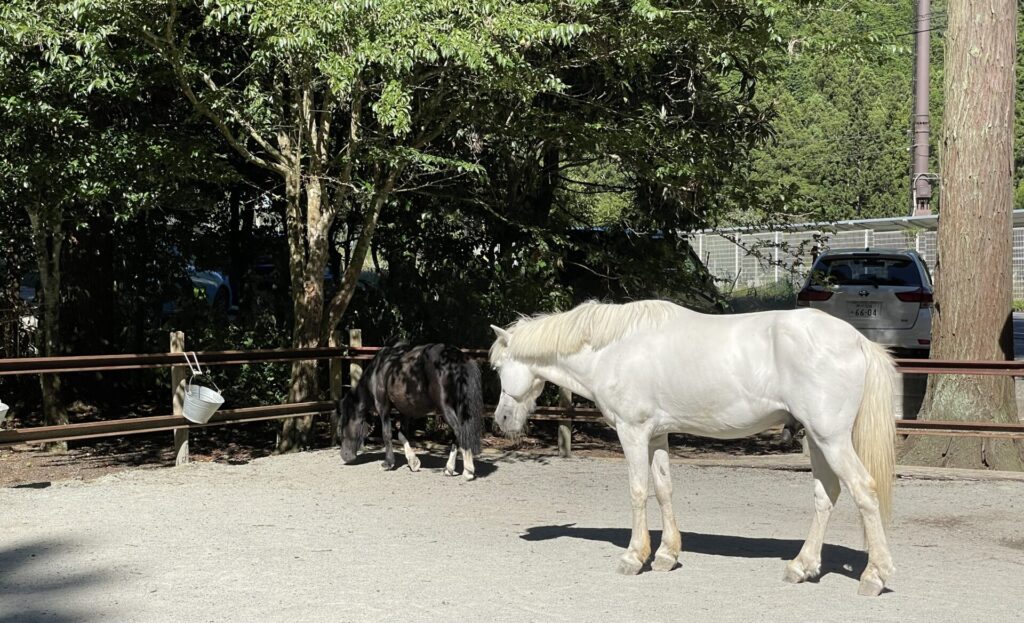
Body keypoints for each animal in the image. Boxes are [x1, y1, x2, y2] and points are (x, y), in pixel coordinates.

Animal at [333, 342, 481, 479]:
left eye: (341, 426)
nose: (344, 456)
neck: (379, 370)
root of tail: (457, 358)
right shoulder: (405, 411)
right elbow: (401, 434)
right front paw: (413, 462)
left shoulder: (383, 407)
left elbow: (387, 433)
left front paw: (388, 463)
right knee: (459, 435)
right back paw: (449, 469)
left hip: (446, 409)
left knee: (460, 431)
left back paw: (468, 471)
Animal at [487, 299, 897, 594]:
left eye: (499, 368)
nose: (501, 420)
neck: (613, 348)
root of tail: (857, 340)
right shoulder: (657, 435)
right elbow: (664, 489)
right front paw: (666, 555)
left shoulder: (633, 432)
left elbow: (638, 491)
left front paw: (634, 557)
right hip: (817, 439)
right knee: (826, 495)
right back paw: (802, 566)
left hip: (831, 439)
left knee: (864, 491)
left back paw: (874, 576)